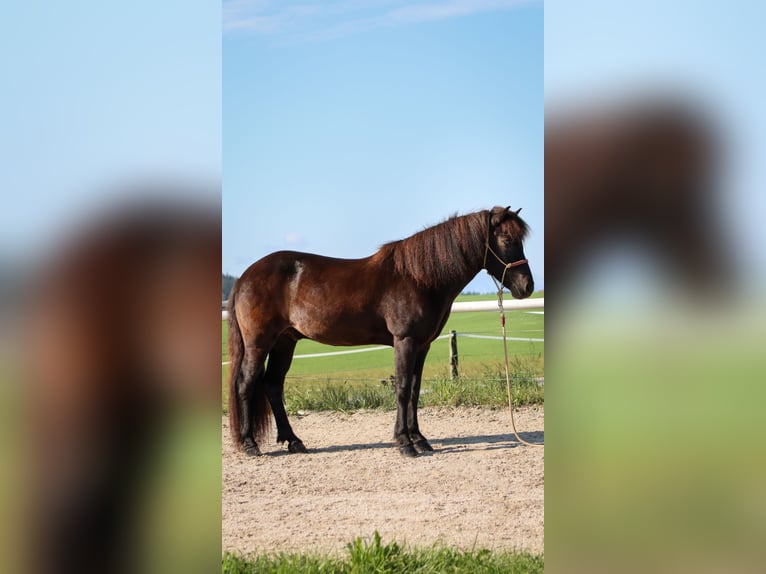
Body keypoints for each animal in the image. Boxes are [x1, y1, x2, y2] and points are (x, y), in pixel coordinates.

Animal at [228, 207, 536, 460]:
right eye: (507, 239)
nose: (527, 287)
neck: (419, 277)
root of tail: (245, 277)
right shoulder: (405, 341)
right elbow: (402, 388)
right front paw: (404, 443)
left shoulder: (422, 345)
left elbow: (414, 390)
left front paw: (419, 439)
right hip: (259, 344)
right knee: (246, 383)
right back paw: (250, 445)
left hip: (285, 342)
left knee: (272, 385)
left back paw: (294, 441)